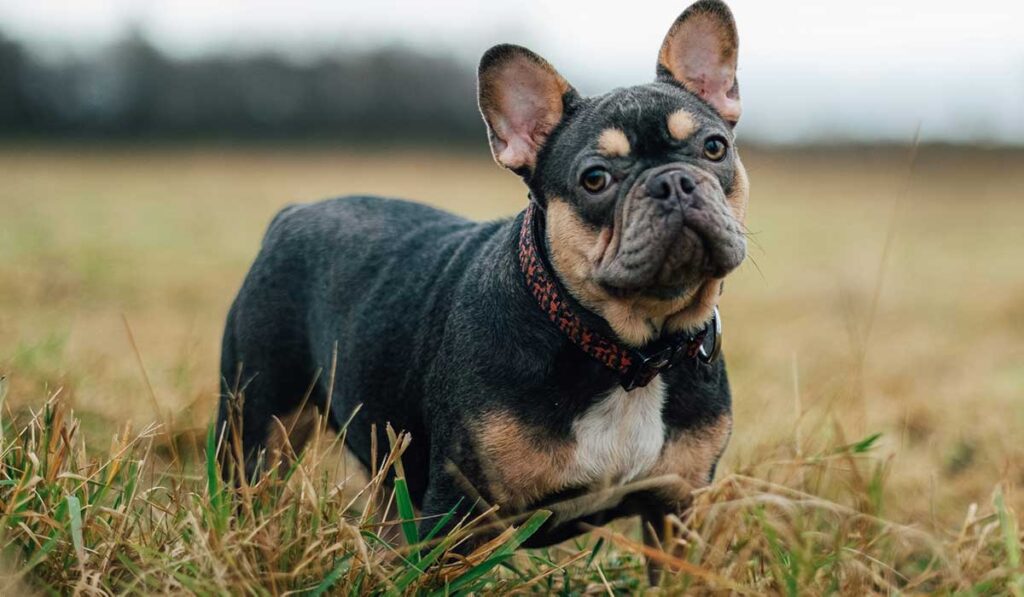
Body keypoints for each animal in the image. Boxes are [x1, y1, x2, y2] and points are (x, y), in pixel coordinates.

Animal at [218, 0, 745, 569]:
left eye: (715, 147)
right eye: (595, 179)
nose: (673, 180)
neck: (629, 353)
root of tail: (293, 214)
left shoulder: (674, 510)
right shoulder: (456, 513)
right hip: (259, 418)